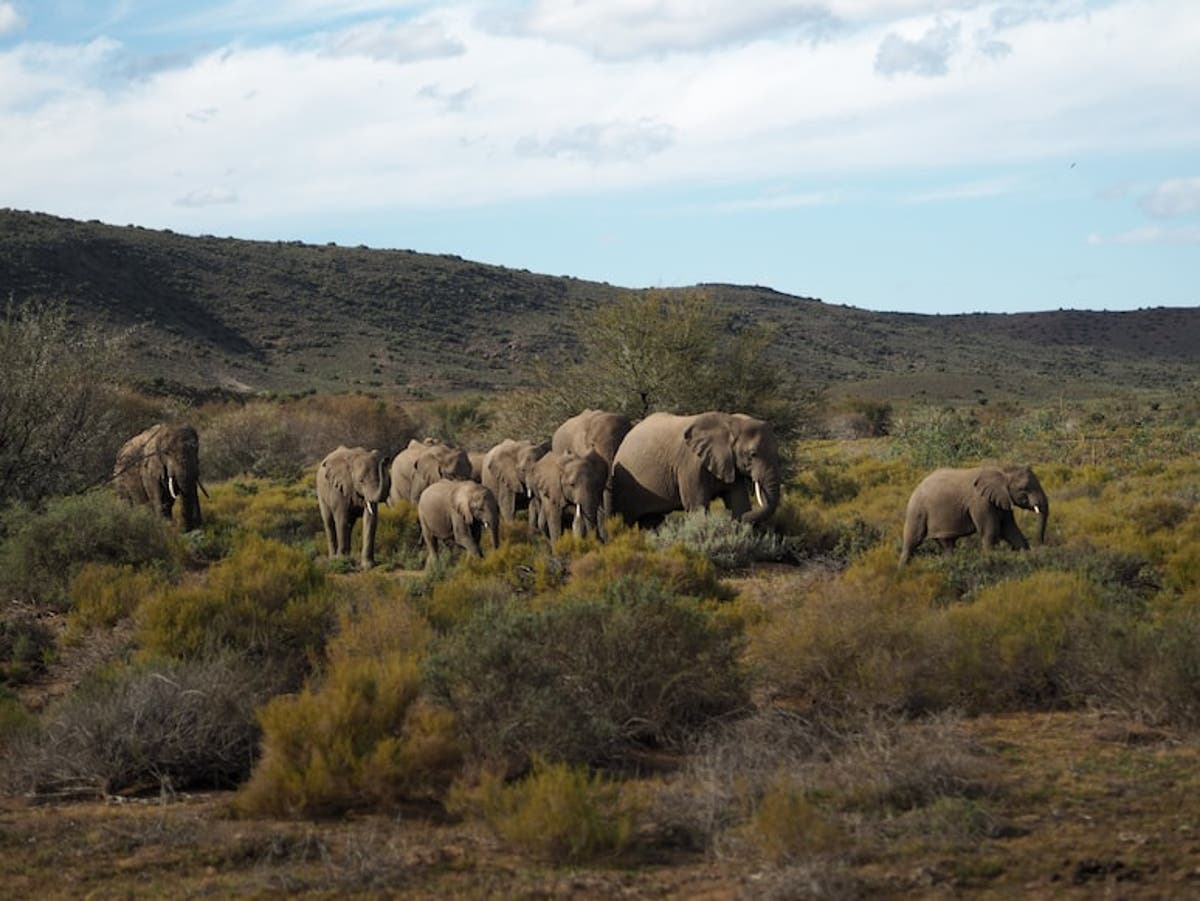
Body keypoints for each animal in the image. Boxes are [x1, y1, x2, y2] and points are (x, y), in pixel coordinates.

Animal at [611, 411, 782, 528]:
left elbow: (739, 503)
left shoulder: (730, 464)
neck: (731, 422)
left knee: (651, 520)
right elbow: (697, 505)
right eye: (753, 454)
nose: (728, 521)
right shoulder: (690, 464)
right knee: (626, 518)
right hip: (624, 483)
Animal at [898, 465, 1049, 566]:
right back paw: (902, 571)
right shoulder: (980, 502)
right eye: (1024, 489)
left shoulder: (1002, 500)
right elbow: (991, 531)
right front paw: (990, 562)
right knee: (912, 541)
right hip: (917, 510)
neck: (1001, 470)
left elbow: (1011, 530)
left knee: (947, 544)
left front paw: (1028, 559)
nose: (1041, 544)